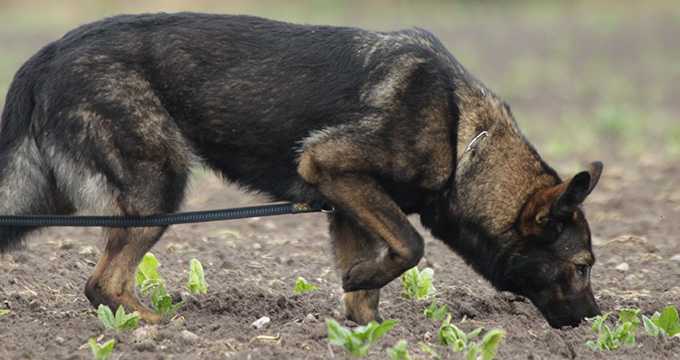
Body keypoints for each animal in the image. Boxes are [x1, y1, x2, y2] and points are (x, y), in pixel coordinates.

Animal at [0, 13, 604, 330]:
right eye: (581, 267)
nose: (594, 320)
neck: (463, 141)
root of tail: (49, 52)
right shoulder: (330, 166)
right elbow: (410, 246)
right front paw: (358, 280)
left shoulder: (346, 204)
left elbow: (372, 292)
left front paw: (365, 328)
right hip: (156, 191)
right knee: (102, 283)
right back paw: (163, 328)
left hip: (61, 199)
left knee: (97, 278)